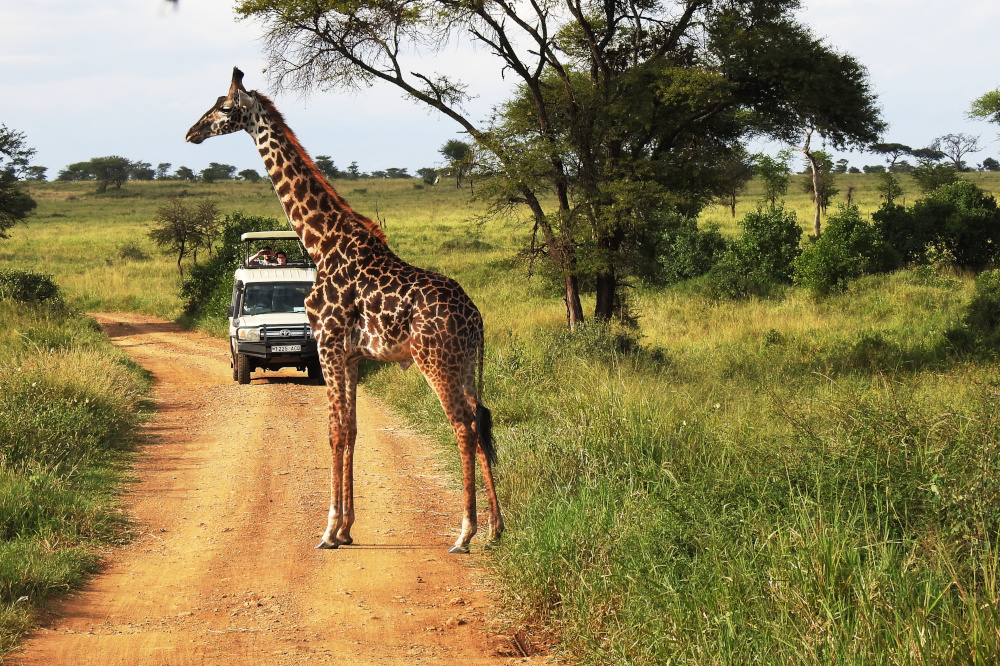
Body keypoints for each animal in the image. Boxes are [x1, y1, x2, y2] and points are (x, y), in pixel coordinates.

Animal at [185, 68, 504, 556]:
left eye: (222, 108)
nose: (191, 133)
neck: (322, 242)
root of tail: (476, 318)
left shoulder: (329, 345)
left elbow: (334, 431)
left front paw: (329, 529)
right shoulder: (352, 356)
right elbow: (351, 430)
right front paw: (348, 528)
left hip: (435, 359)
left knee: (463, 427)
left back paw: (464, 533)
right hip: (466, 361)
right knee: (482, 419)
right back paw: (495, 528)